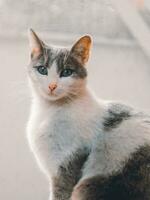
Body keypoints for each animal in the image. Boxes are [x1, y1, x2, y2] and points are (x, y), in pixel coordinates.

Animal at [27, 28, 150, 200]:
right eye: (42, 70)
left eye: (66, 72)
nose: (52, 86)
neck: (49, 110)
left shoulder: (66, 169)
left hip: (88, 186)